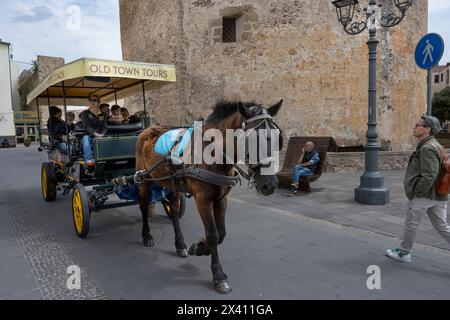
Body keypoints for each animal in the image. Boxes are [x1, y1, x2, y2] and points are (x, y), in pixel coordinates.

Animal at [135, 99, 284, 292]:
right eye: (251, 139)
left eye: (278, 138)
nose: (270, 185)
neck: (213, 151)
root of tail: (146, 129)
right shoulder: (202, 199)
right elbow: (213, 234)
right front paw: (218, 275)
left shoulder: (221, 199)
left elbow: (221, 233)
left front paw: (199, 248)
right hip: (143, 179)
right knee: (144, 207)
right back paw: (147, 236)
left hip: (173, 183)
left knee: (174, 210)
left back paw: (180, 244)